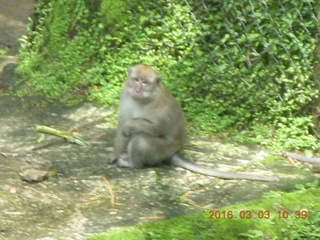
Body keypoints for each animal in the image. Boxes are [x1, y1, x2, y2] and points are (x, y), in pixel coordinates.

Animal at [109, 64, 278, 182]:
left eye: (144, 82)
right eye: (136, 80)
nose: (137, 89)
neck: (143, 98)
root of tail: (173, 152)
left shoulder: (155, 105)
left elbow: (156, 128)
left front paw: (130, 124)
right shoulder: (125, 94)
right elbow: (122, 123)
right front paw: (115, 154)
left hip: (161, 150)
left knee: (140, 139)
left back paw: (133, 163)